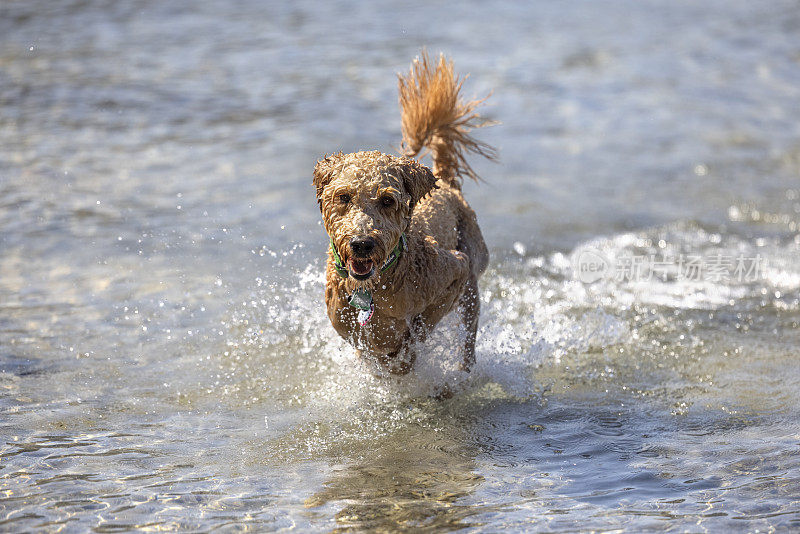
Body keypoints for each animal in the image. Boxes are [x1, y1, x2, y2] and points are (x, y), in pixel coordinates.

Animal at [312, 52, 494, 374]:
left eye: (387, 200)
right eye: (344, 197)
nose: (362, 244)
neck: (373, 288)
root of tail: (446, 181)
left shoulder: (456, 270)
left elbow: (418, 330)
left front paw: (404, 354)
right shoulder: (347, 327)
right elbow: (368, 346)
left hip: (472, 270)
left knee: (468, 335)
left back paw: (464, 371)